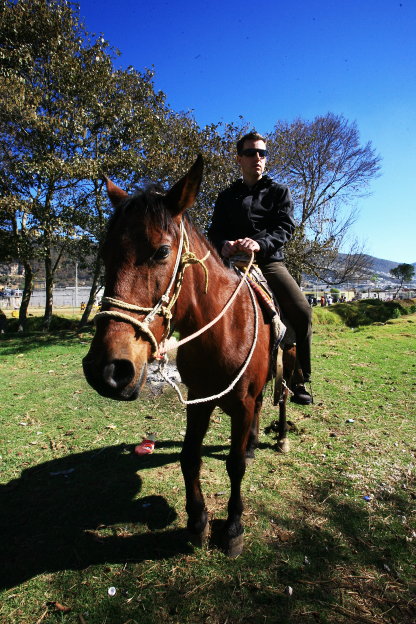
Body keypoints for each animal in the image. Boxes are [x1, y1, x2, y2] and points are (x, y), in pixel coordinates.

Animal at [82, 156, 296, 556]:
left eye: (162, 251)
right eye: (104, 252)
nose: (106, 370)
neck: (222, 331)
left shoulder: (241, 403)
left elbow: (234, 466)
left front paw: (232, 527)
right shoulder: (199, 400)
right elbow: (188, 458)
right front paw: (197, 522)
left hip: (286, 365)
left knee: (283, 398)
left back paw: (279, 438)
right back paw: (254, 443)